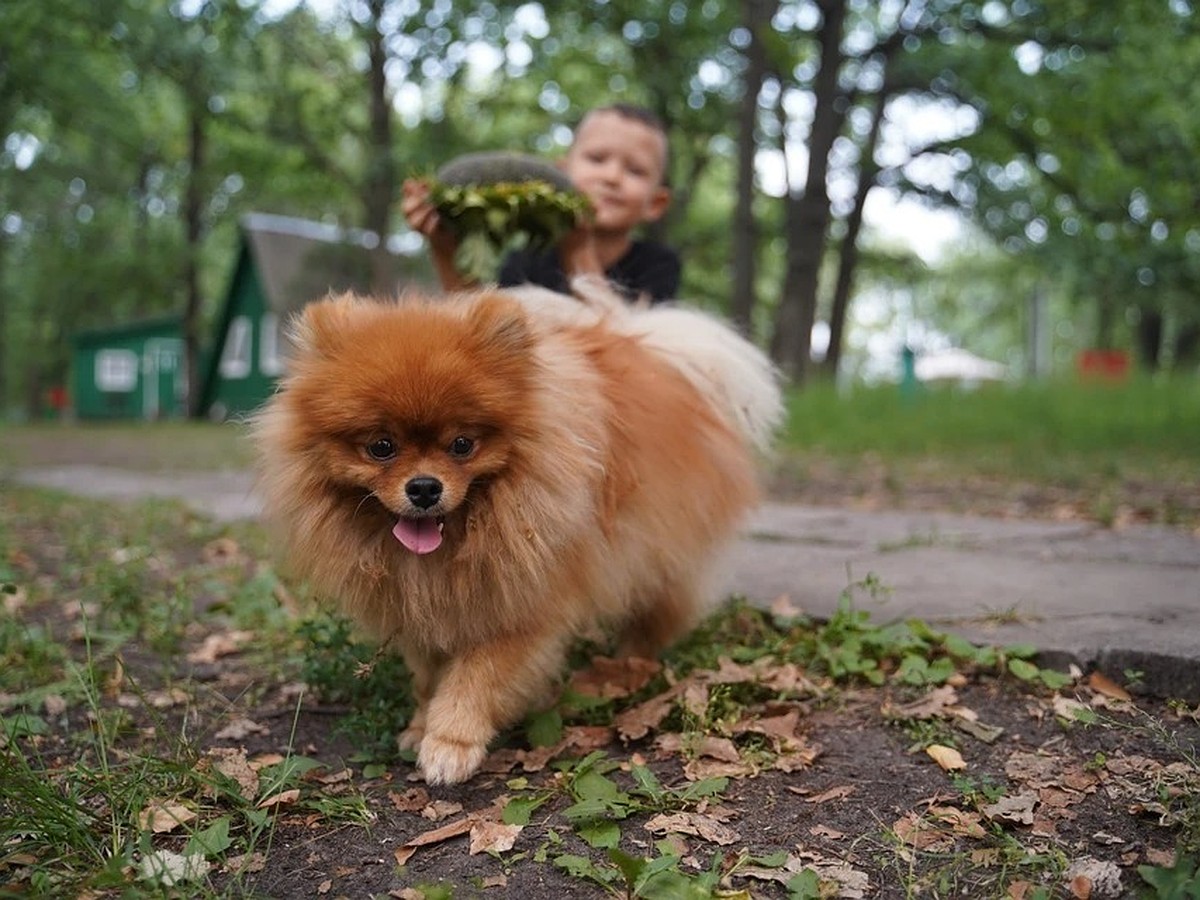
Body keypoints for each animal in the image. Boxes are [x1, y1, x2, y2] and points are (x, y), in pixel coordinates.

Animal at [253, 285, 782, 787]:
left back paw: (620, 671)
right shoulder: (420, 609)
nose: (424, 487)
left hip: (653, 551)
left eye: (462, 444)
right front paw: (420, 727)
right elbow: (428, 678)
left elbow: (476, 677)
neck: (459, 541)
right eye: (381, 447)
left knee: (651, 620)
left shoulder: (524, 609)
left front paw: (450, 744)